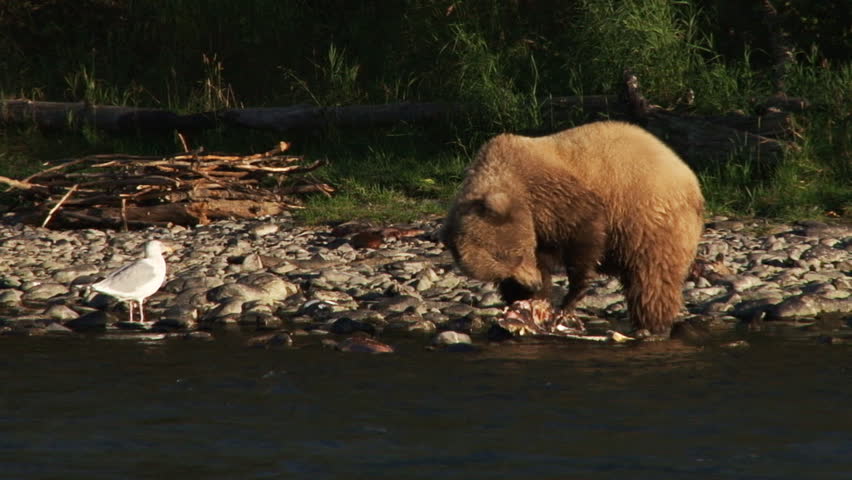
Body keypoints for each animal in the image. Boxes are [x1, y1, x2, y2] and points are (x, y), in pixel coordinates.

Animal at [441, 120, 704, 335]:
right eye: (501, 271)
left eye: (515, 255)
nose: (532, 285)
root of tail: (689, 176)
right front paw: (530, 300)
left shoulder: (557, 196)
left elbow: (584, 238)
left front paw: (570, 296)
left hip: (650, 219)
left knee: (652, 278)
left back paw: (652, 325)